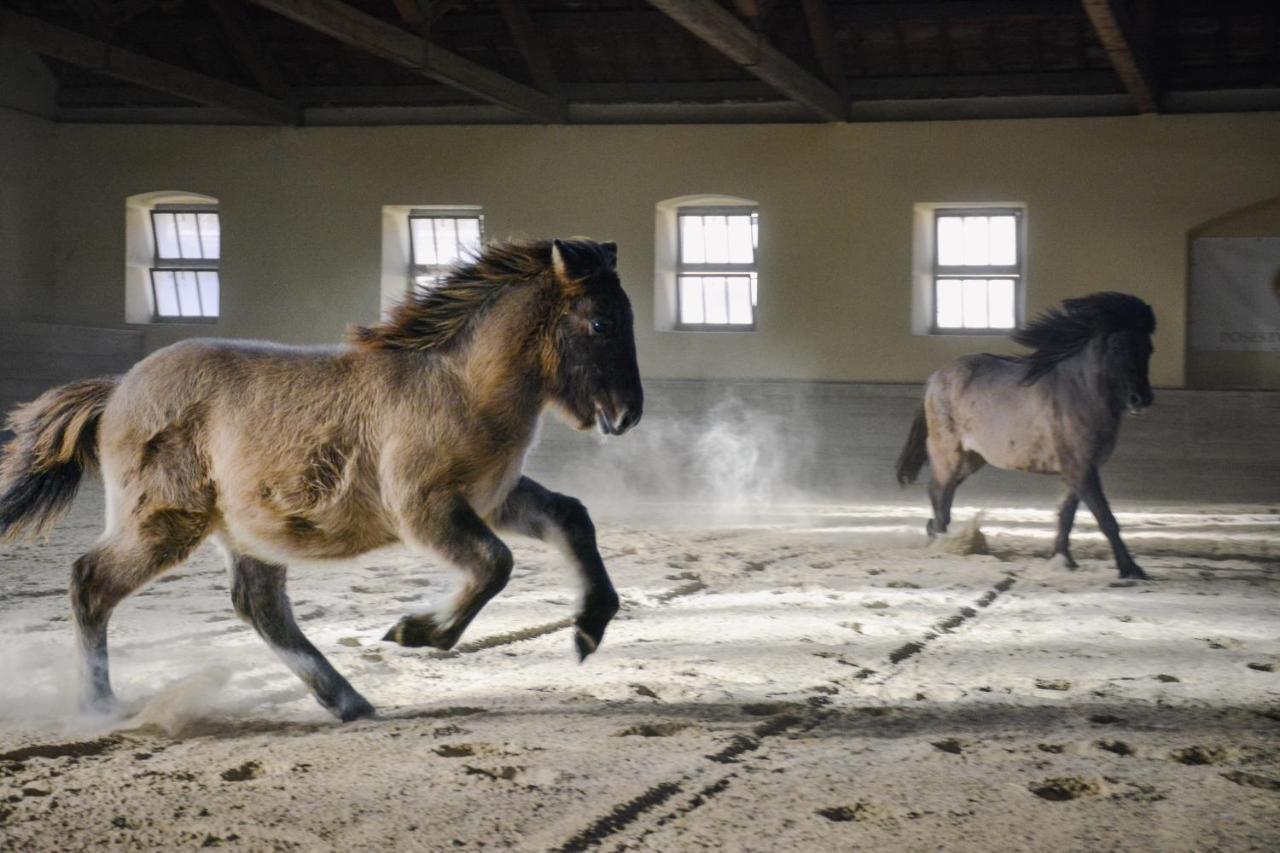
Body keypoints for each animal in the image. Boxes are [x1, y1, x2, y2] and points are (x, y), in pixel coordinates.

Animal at [0, 236, 640, 717]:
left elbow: (572, 518)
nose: (627, 414)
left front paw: (589, 629)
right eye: (600, 322)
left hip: (246, 532)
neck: (457, 386)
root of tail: (116, 391)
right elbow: (494, 565)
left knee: (259, 607)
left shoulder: (495, 498)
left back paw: (348, 701)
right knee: (90, 581)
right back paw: (100, 707)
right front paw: (416, 631)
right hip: (164, 522)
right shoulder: (426, 510)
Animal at [896, 292, 1157, 578]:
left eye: (1149, 348)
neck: (1080, 394)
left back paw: (938, 535)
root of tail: (935, 378)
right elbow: (1105, 517)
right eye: (1118, 346)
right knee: (939, 492)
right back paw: (944, 544)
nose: (1142, 399)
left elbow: (1066, 515)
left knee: (944, 495)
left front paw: (1063, 559)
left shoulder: (1077, 471)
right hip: (949, 454)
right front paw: (1131, 569)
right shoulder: (1081, 468)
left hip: (971, 459)